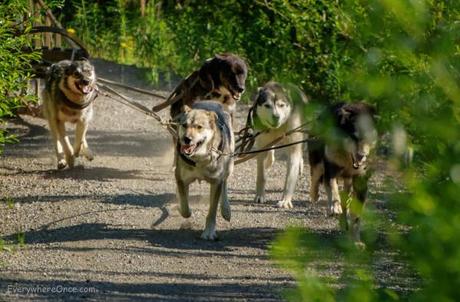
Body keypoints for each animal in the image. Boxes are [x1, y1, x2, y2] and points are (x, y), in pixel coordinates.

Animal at [175, 101, 235, 241]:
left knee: (225, 183)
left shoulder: (216, 182)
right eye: (184, 125)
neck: (200, 158)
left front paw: (208, 232)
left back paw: (226, 210)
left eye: (199, 127)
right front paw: (184, 210)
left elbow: (212, 211)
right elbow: (184, 204)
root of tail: (212, 102)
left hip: (229, 165)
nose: (186, 139)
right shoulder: (180, 177)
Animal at [248, 81, 310, 209]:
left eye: (281, 105)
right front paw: (260, 195)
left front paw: (285, 200)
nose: (276, 117)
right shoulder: (261, 144)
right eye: (267, 105)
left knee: (301, 151)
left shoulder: (293, 146)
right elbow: (261, 175)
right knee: (270, 150)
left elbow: (290, 175)